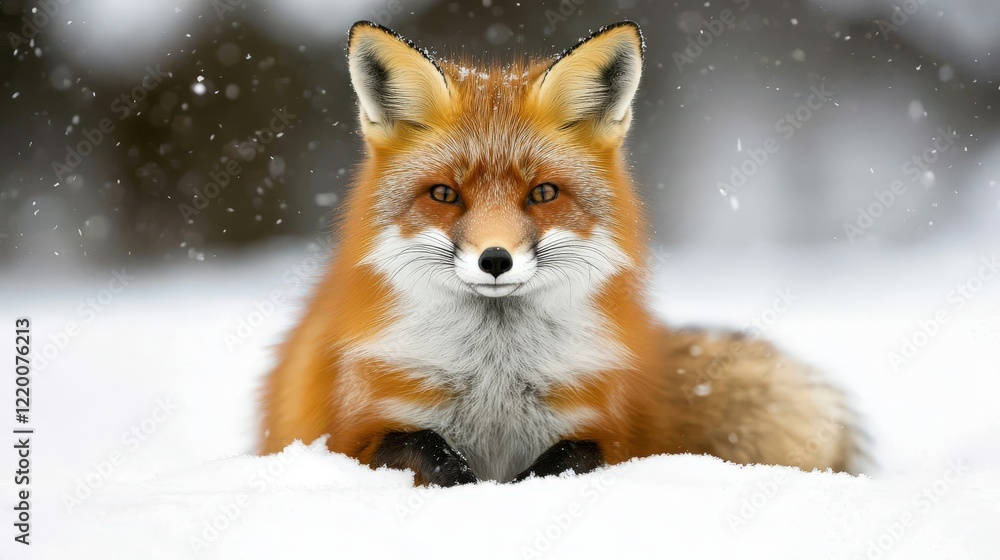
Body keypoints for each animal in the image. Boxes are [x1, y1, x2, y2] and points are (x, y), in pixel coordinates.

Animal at [260, 20, 857, 485]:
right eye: (445, 195)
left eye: (543, 193)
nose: (494, 260)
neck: (494, 376)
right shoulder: (353, 431)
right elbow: (421, 446)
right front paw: (469, 482)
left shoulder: (610, 429)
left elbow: (573, 456)